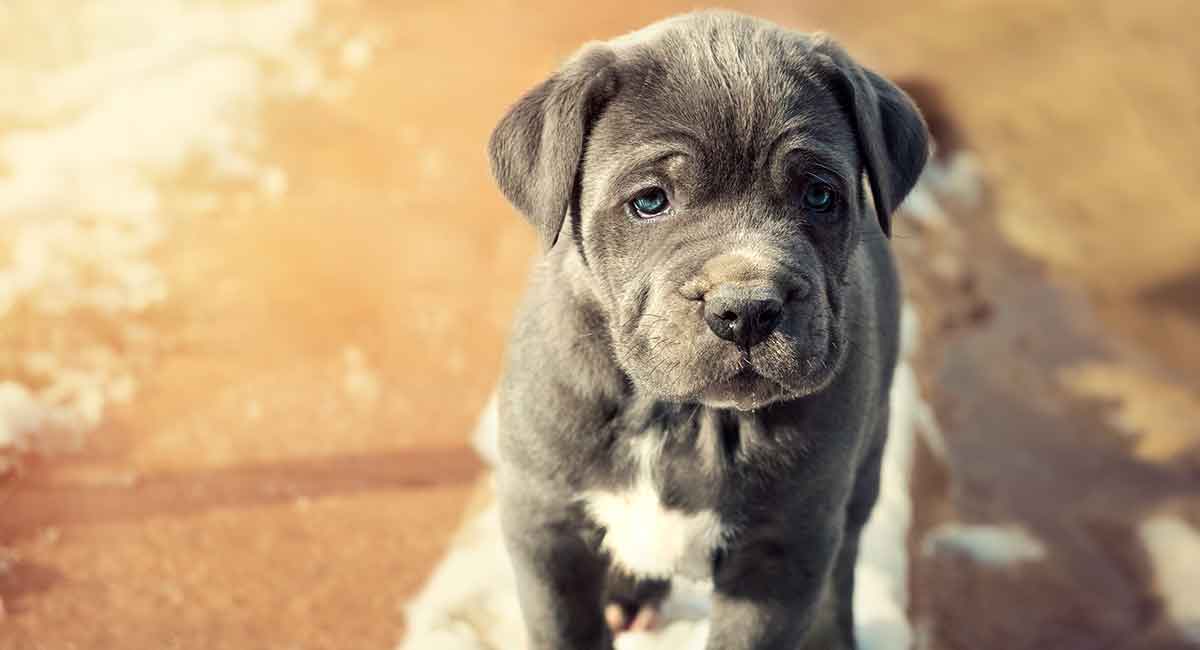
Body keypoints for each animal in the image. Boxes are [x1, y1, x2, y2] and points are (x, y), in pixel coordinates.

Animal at [484, 10, 926, 650]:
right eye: (650, 201)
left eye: (820, 196)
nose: (746, 309)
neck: (678, 415)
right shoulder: (546, 529)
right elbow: (565, 631)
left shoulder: (781, 552)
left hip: (863, 469)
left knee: (841, 570)